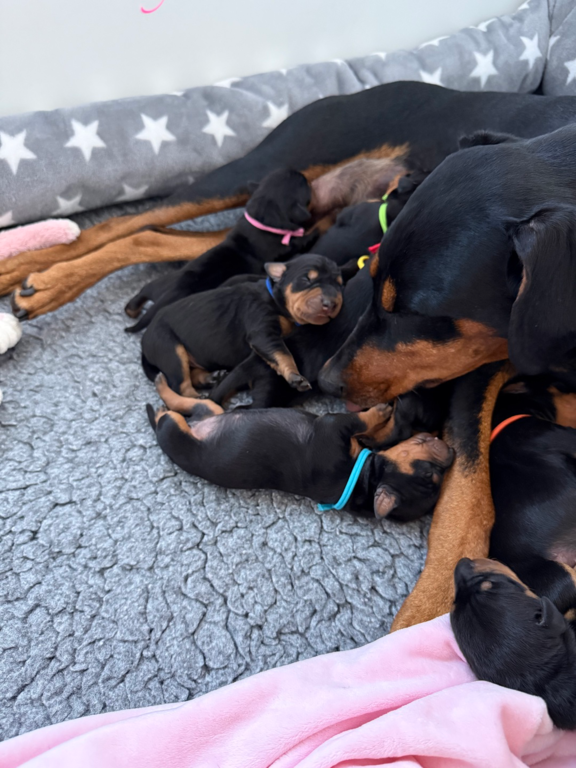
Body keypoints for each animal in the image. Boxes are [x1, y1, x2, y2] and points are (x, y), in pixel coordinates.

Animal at [141, 253, 344, 397]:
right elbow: (283, 354)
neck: (275, 300)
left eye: (339, 285)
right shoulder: (262, 331)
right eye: (307, 279)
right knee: (181, 384)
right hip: (170, 349)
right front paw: (295, 377)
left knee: (192, 372)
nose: (331, 304)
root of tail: (144, 342)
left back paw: (211, 377)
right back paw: (198, 399)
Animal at [146, 388, 454, 521]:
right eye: (430, 472)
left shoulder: (335, 426)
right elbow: (380, 428)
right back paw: (161, 392)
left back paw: (159, 409)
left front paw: (383, 410)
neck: (364, 479)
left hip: (178, 431)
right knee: (187, 402)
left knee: (170, 417)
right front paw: (387, 410)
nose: (452, 452)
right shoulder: (347, 432)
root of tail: (198, 425)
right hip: (208, 411)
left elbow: (366, 423)